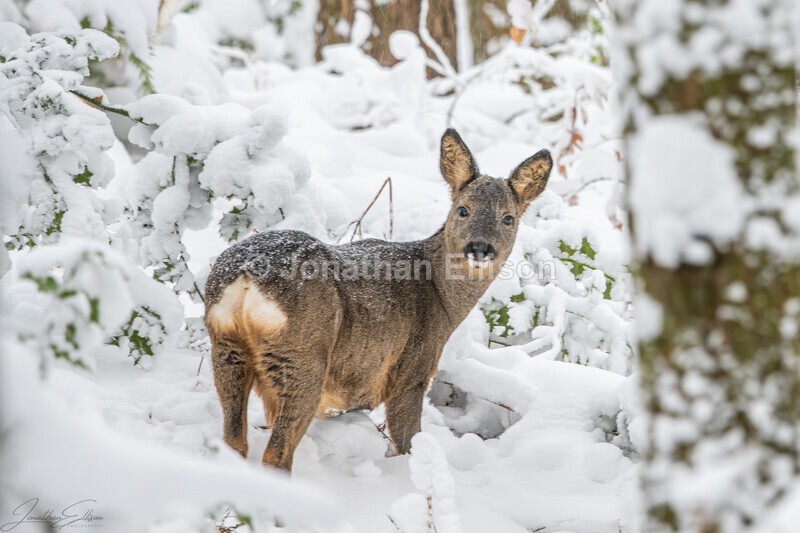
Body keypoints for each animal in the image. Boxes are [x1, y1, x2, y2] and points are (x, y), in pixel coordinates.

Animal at [204, 129, 552, 471]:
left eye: (508, 218)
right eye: (463, 209)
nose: (479, 248)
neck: (441, 297)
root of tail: (248, 275)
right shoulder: (412, 369)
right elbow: (406, 441)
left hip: (226, 347)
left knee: (234, 440)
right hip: (303, 353)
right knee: (276, 454)